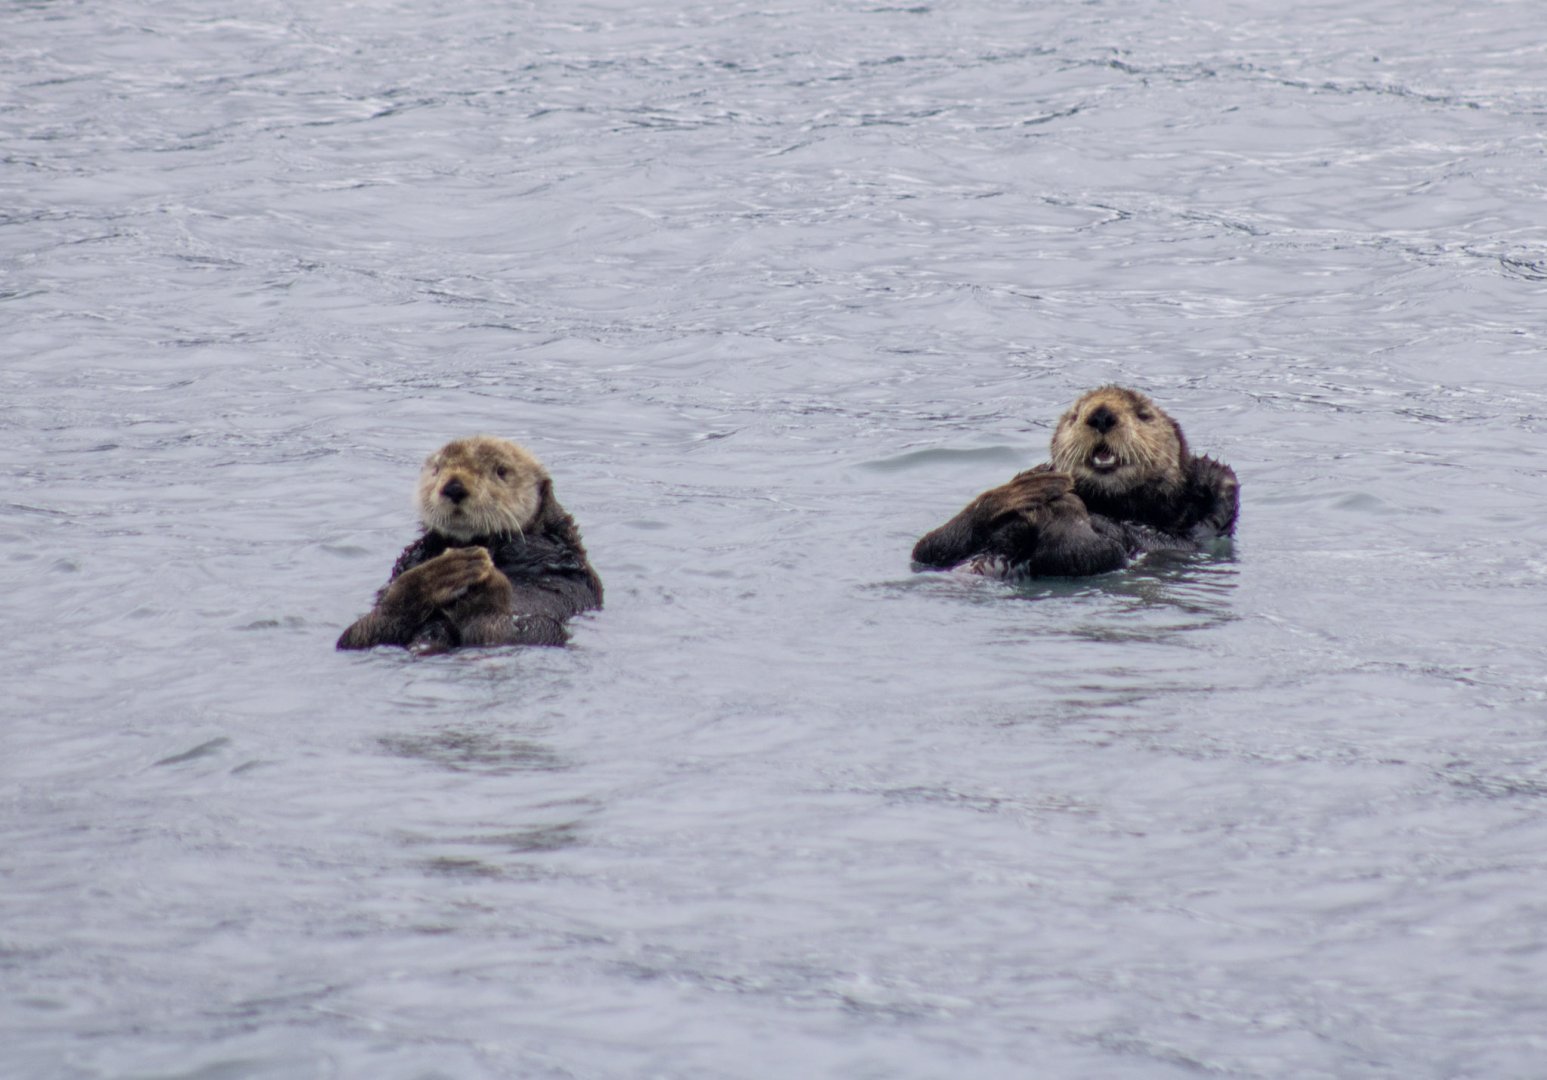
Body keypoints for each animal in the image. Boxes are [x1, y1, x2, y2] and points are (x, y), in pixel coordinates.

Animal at [337, 436, 603, 653]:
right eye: (437, 469)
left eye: (501, 471)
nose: (454, 486)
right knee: (364, 631)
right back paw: (442, 573)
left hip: (541, 628)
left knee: (493, 631)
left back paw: (478, 579)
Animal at [912, 386, 1238, 578]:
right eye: (1075, 415)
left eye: (1143, 415)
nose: (1101, 414)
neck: (1115, 508)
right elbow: (928, 551)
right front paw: (1042, 474)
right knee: (931, 545)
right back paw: (1032, 487)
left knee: (1079, 551)